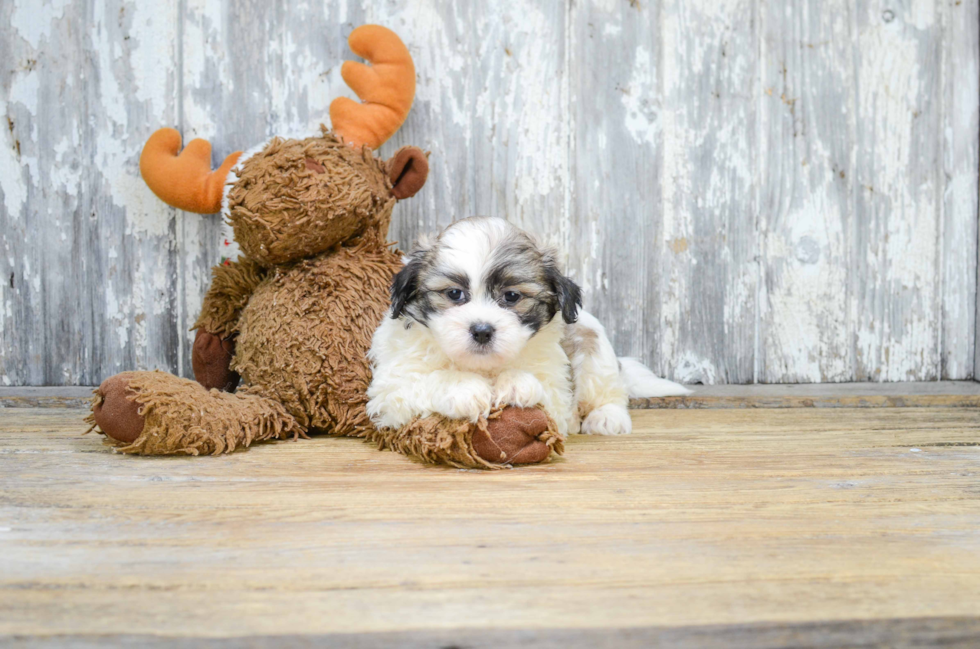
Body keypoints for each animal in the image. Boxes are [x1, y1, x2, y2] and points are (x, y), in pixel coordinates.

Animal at [366, 216, 688, 436]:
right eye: (454, 294)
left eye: (511, 296)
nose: (482, 330)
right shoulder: (390, 390)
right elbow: (427, 379)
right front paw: (465, 389)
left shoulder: (558, 392)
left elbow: (544, 390)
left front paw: (516, 383)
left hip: (595, 348)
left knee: (609, 390)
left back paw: (607, 417)